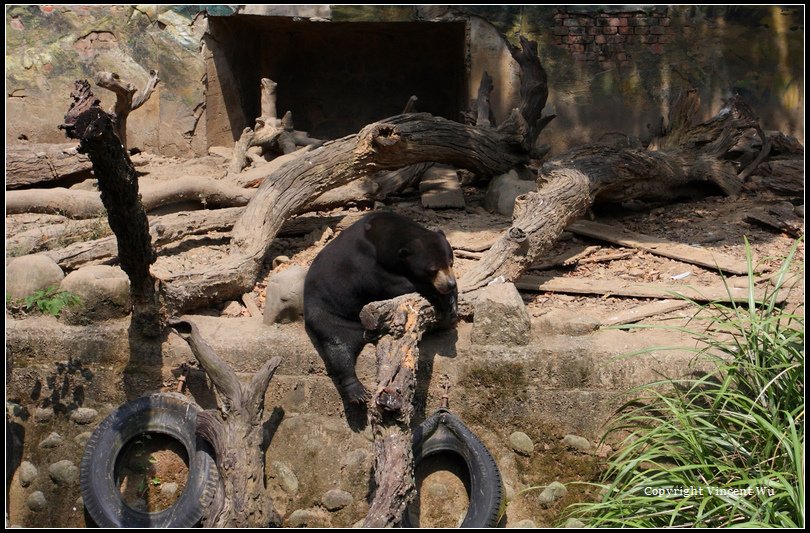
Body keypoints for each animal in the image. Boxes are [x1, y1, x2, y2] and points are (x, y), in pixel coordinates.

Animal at [304, 210, 454, 402]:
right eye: (432, 270)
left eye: (450, 262)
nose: (450, 284)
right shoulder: (362, 262)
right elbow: (389, 284)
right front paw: (439, 295)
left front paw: (452, 301)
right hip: (327, 314)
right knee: (337, 347)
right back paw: (357, 391)